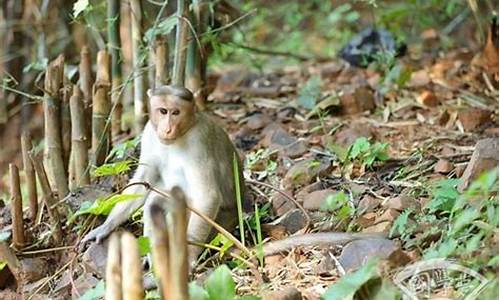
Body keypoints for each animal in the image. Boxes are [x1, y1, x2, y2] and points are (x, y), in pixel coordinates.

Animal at [81, 84, 243, 264]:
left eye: (176, 112)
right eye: (163, 111)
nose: (167, 129)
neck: (185, 130)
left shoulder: (199, 140)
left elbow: (208, 196)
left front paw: (190, 255)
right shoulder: (148, 132)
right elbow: (142, 182)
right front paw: (105, 226)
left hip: (221, 227)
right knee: (155, 203)